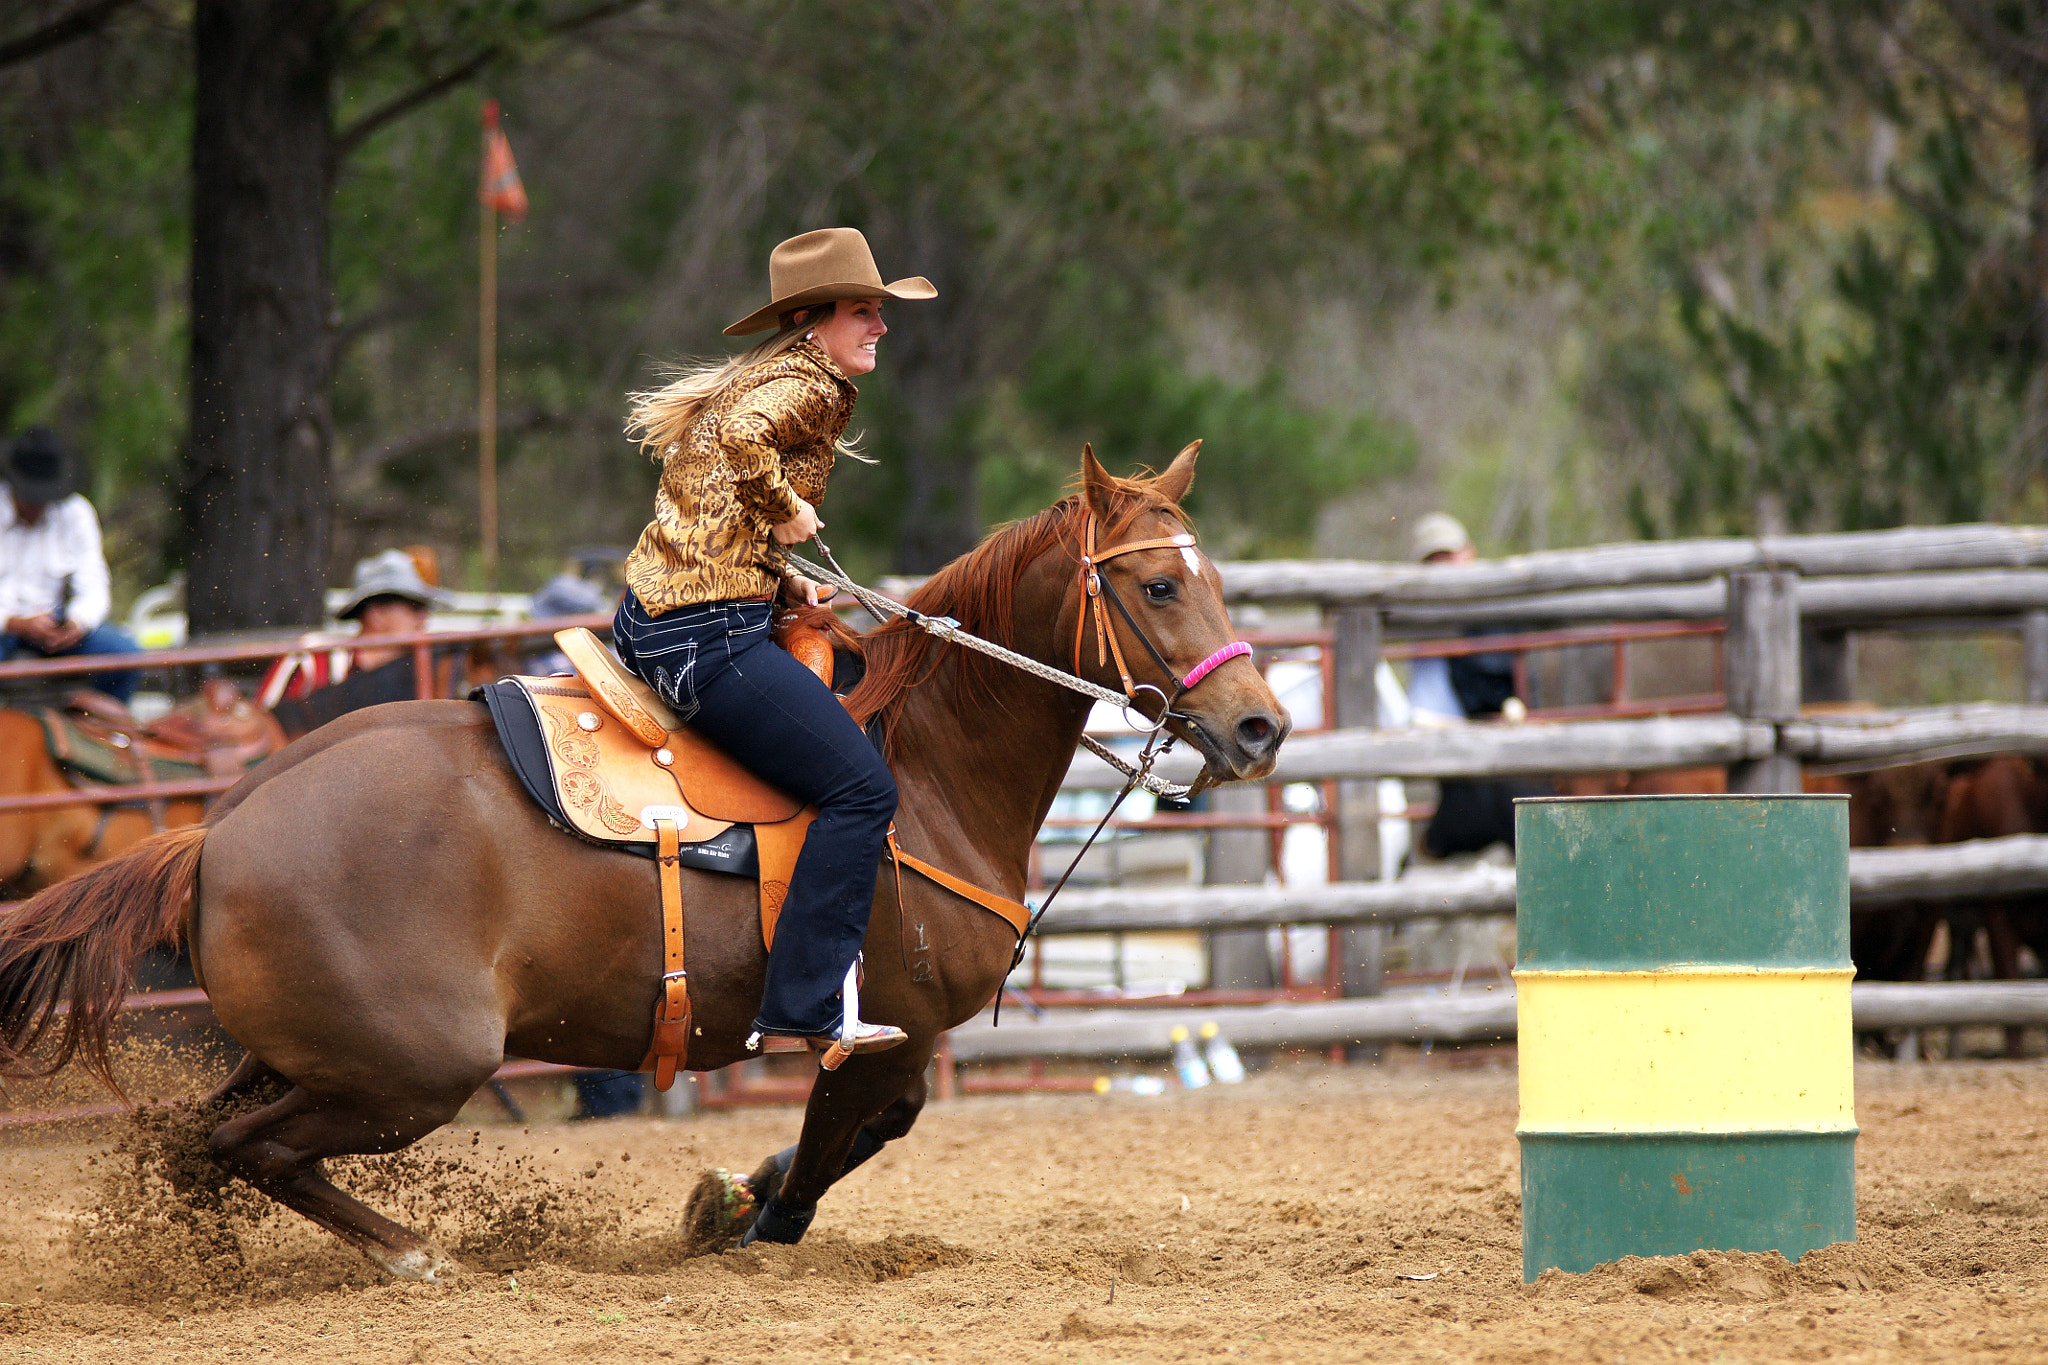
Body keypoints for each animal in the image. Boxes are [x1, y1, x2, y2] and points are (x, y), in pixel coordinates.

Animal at [0, 446, 1286, 1285]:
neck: (924, 776)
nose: (1260, 726)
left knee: (200, 1146)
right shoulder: (877, 1030)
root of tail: (215, 833)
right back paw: (419, 1256)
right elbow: (843, 1141)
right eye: (1158, 583)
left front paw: (729, 1195)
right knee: (244, 1148)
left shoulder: (897, 1044)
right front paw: (747, 1219)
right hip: (413, 1068)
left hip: (313, 1052)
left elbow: (867, 1133)